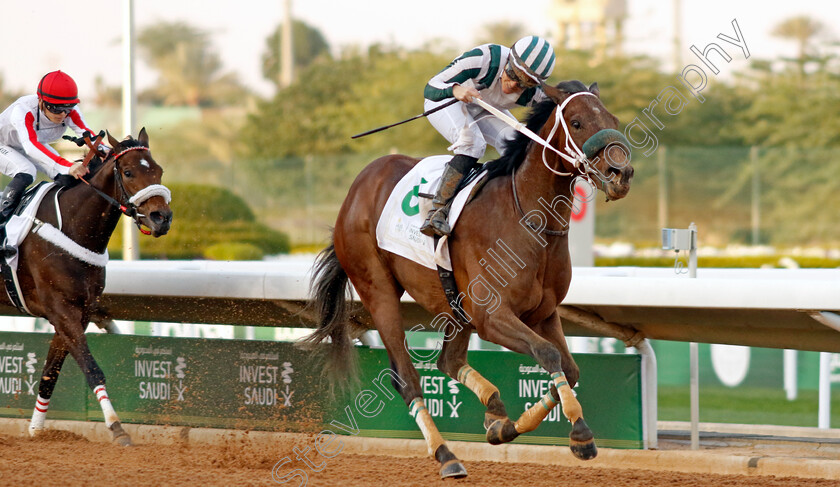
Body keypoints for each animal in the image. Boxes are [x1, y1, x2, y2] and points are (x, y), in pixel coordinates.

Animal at [12, 129, 172, 446]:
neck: (72, 227)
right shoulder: (61, 310)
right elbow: (93, 370)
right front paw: (116, 427)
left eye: (158, 170)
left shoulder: (78, 312)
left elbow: (50, 374)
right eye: (128, 172)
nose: (162, 218)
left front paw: (36, 430)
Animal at [306, 81, 632, 480]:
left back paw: (494, 408)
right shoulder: (492, 317)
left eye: (613, 120)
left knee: (448, 361)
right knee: (407, 376)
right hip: (378, 290)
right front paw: (581, 432)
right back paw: (446, 455)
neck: (527, 217)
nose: (621, 174)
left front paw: (506, 427)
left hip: (454, 306)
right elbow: (548, 353)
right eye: (577, 122)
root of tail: (359, 185)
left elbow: (568, 369)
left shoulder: (543, 312)